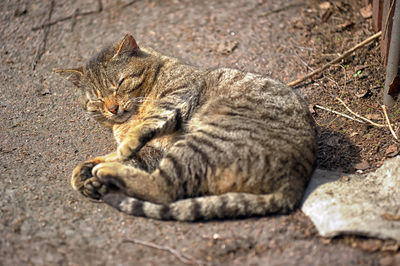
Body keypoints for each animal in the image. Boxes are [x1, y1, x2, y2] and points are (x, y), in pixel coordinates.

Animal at [56, 34, 318, 221]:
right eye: (97, 99)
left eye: (120, 83)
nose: (113, 108)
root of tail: (294, 182)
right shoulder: (154, 149)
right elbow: (122, 156)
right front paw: (86, 174)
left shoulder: (178, 95)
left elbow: (144, 128)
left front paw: (111, 159)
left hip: (204, 142)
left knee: (162, 189)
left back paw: (107, 172)